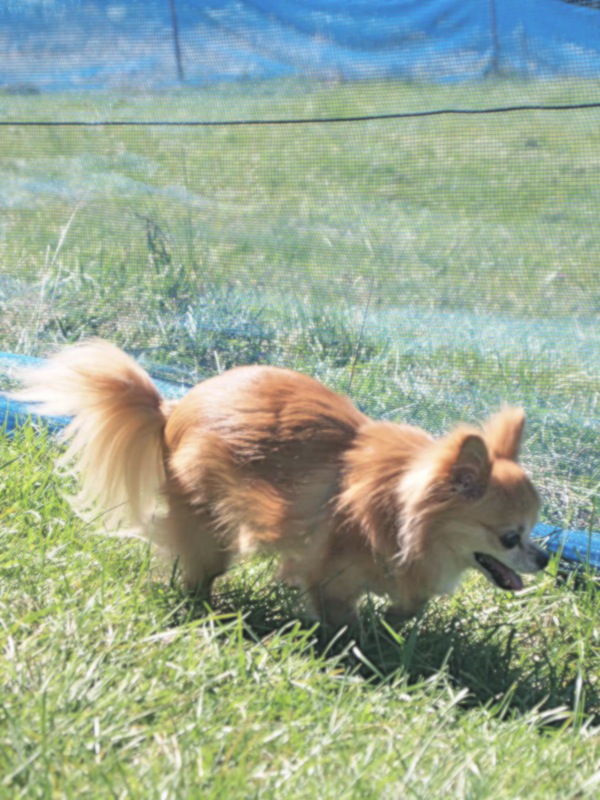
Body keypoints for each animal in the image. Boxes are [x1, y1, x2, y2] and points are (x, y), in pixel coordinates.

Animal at [18, 339, 548, 629]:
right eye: (511, 537)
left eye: (536, 530)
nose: (545, 557)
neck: (403, 508)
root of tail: (169, 410)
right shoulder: (331, 574)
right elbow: (343, 616)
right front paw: (358, 645)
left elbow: (410, 604)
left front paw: (395, 622)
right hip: (210, 527)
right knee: (198, 571)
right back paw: (207, 608)